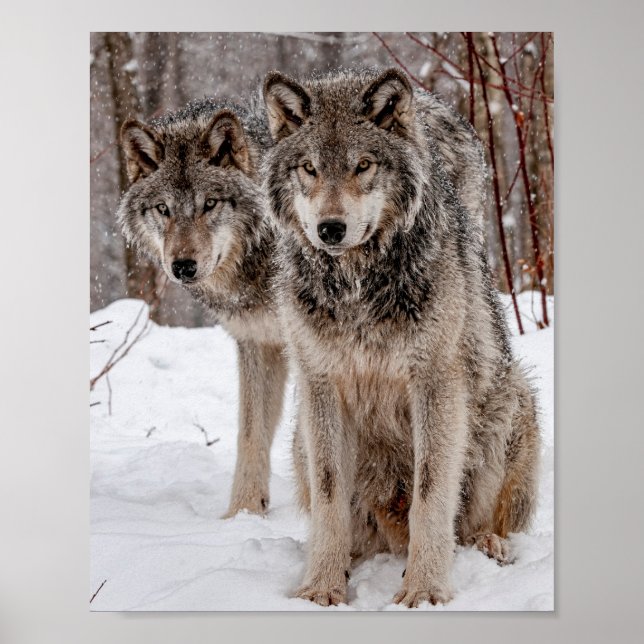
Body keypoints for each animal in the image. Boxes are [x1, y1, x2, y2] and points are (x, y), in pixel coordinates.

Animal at [117, 98, 287, 518]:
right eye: (163, 209)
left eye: (209, 204)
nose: (183, 266)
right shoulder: (257, 342)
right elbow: (251, 434)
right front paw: (244, 514)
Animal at [262, 68, 540, 607]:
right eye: (309, 169)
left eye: (363, 165)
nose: (330, 228)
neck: (357, 287)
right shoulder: (321, 385)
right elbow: (329, 496)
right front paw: (321, 587)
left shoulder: (434, 383)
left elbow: (432, 494)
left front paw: (425, 588)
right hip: (302, 437)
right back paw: (353, 558)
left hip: (510, 399)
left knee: (478, 523)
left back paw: (489, 545)